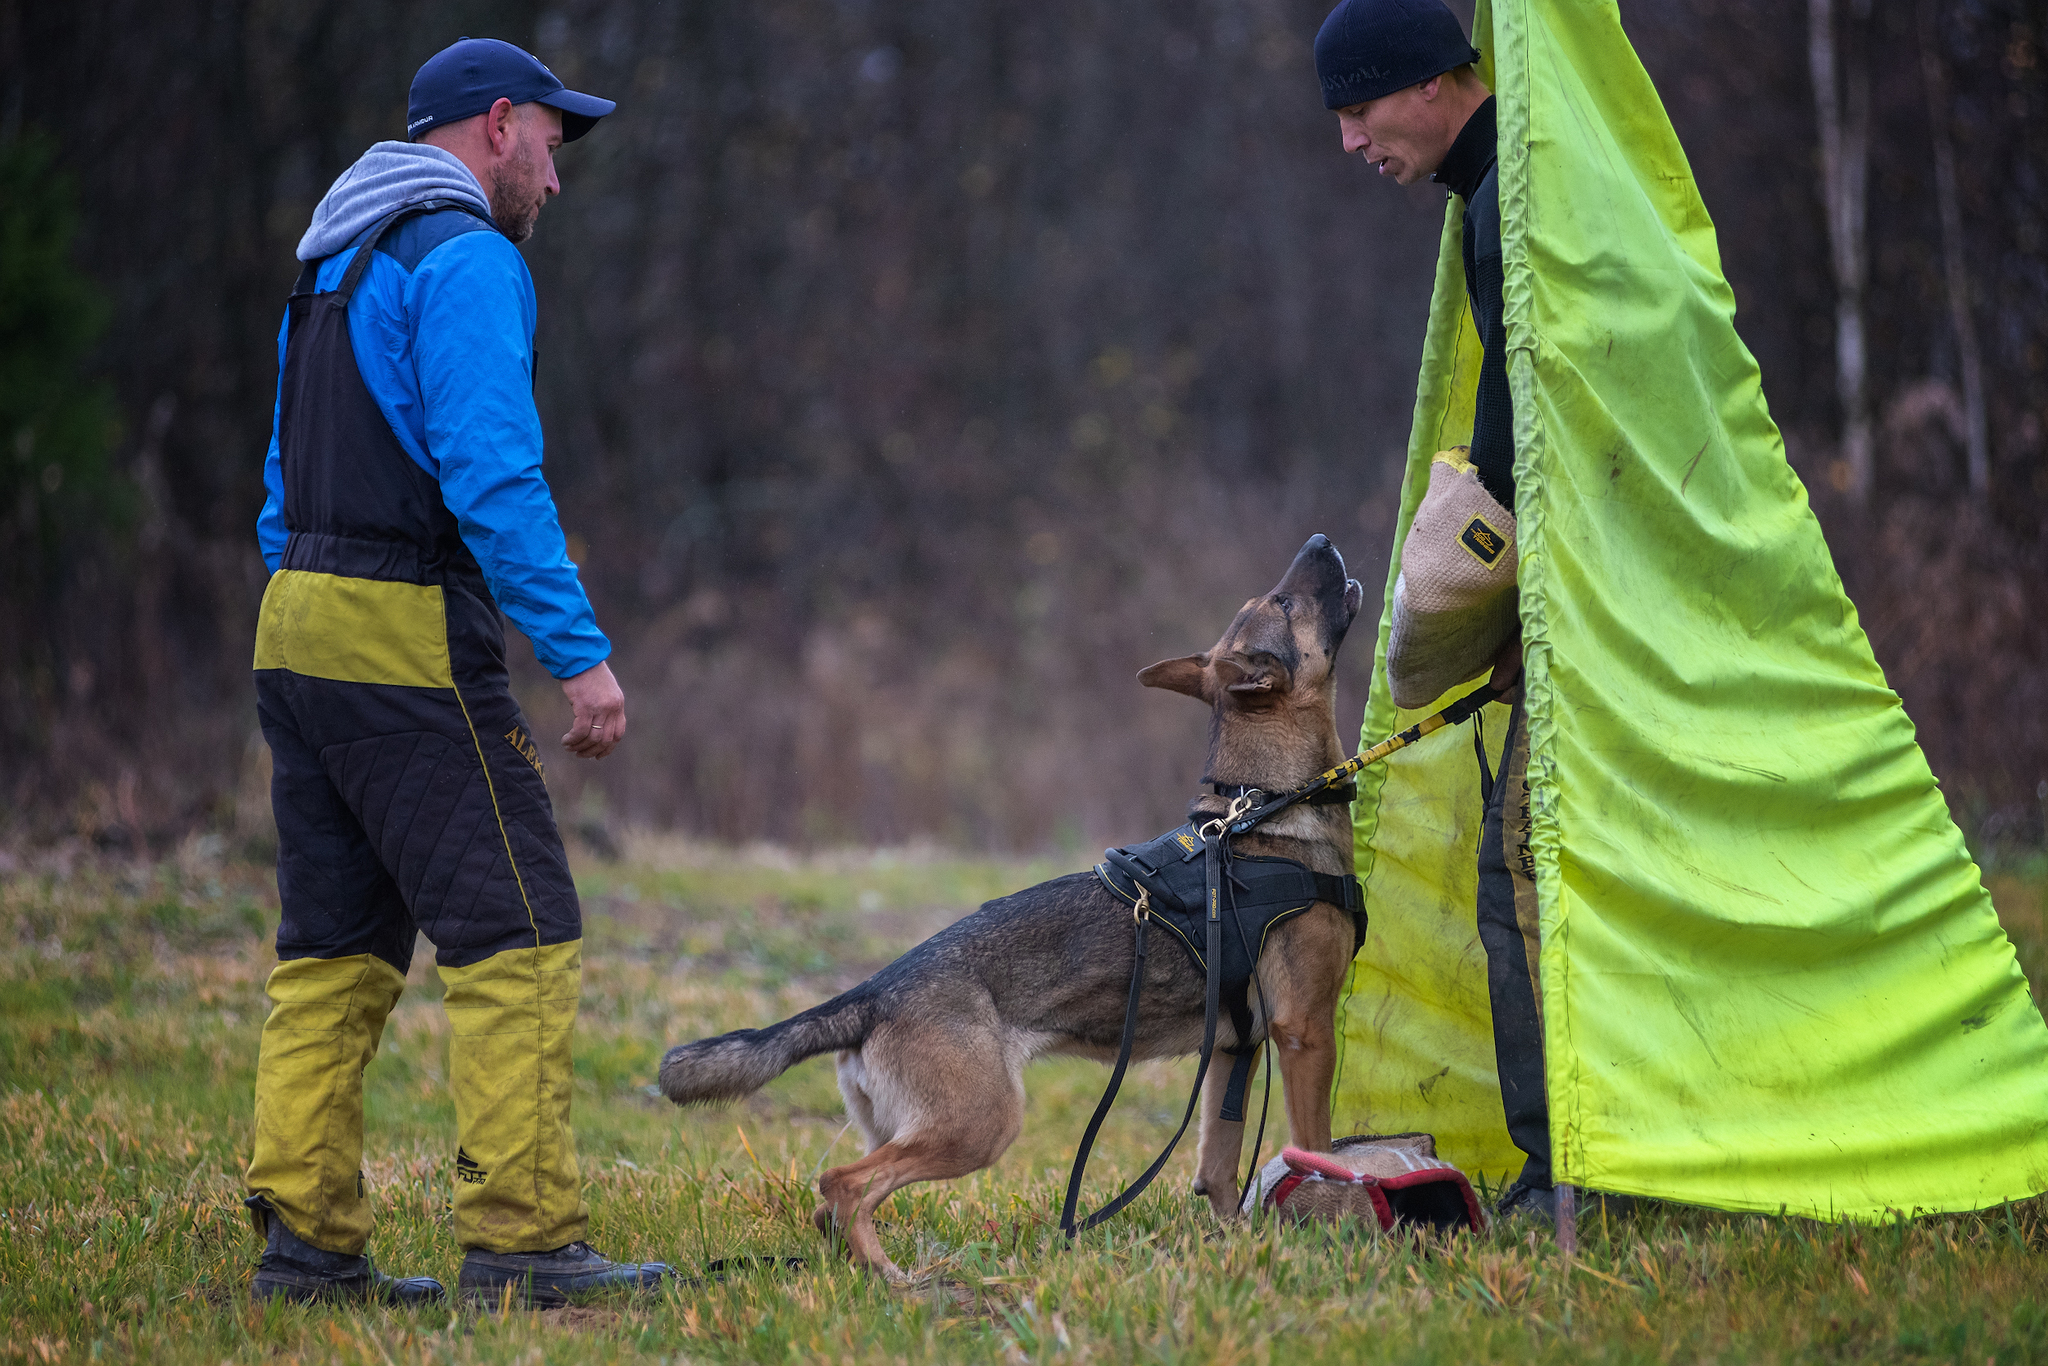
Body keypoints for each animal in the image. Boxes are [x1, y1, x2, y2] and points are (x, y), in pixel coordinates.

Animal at [663, 532, 1368, 1286]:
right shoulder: (1304, 1032)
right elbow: (1317, 1151)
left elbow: (1219, 1169)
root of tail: (872, 994)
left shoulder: (1235, 1049)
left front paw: (1241, 1246)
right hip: (980, 1126)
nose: (1321, 541)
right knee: (844, 1185)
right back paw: (899, 1283)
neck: (1261, 810)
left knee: (832, 1209)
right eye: (1284, 601)